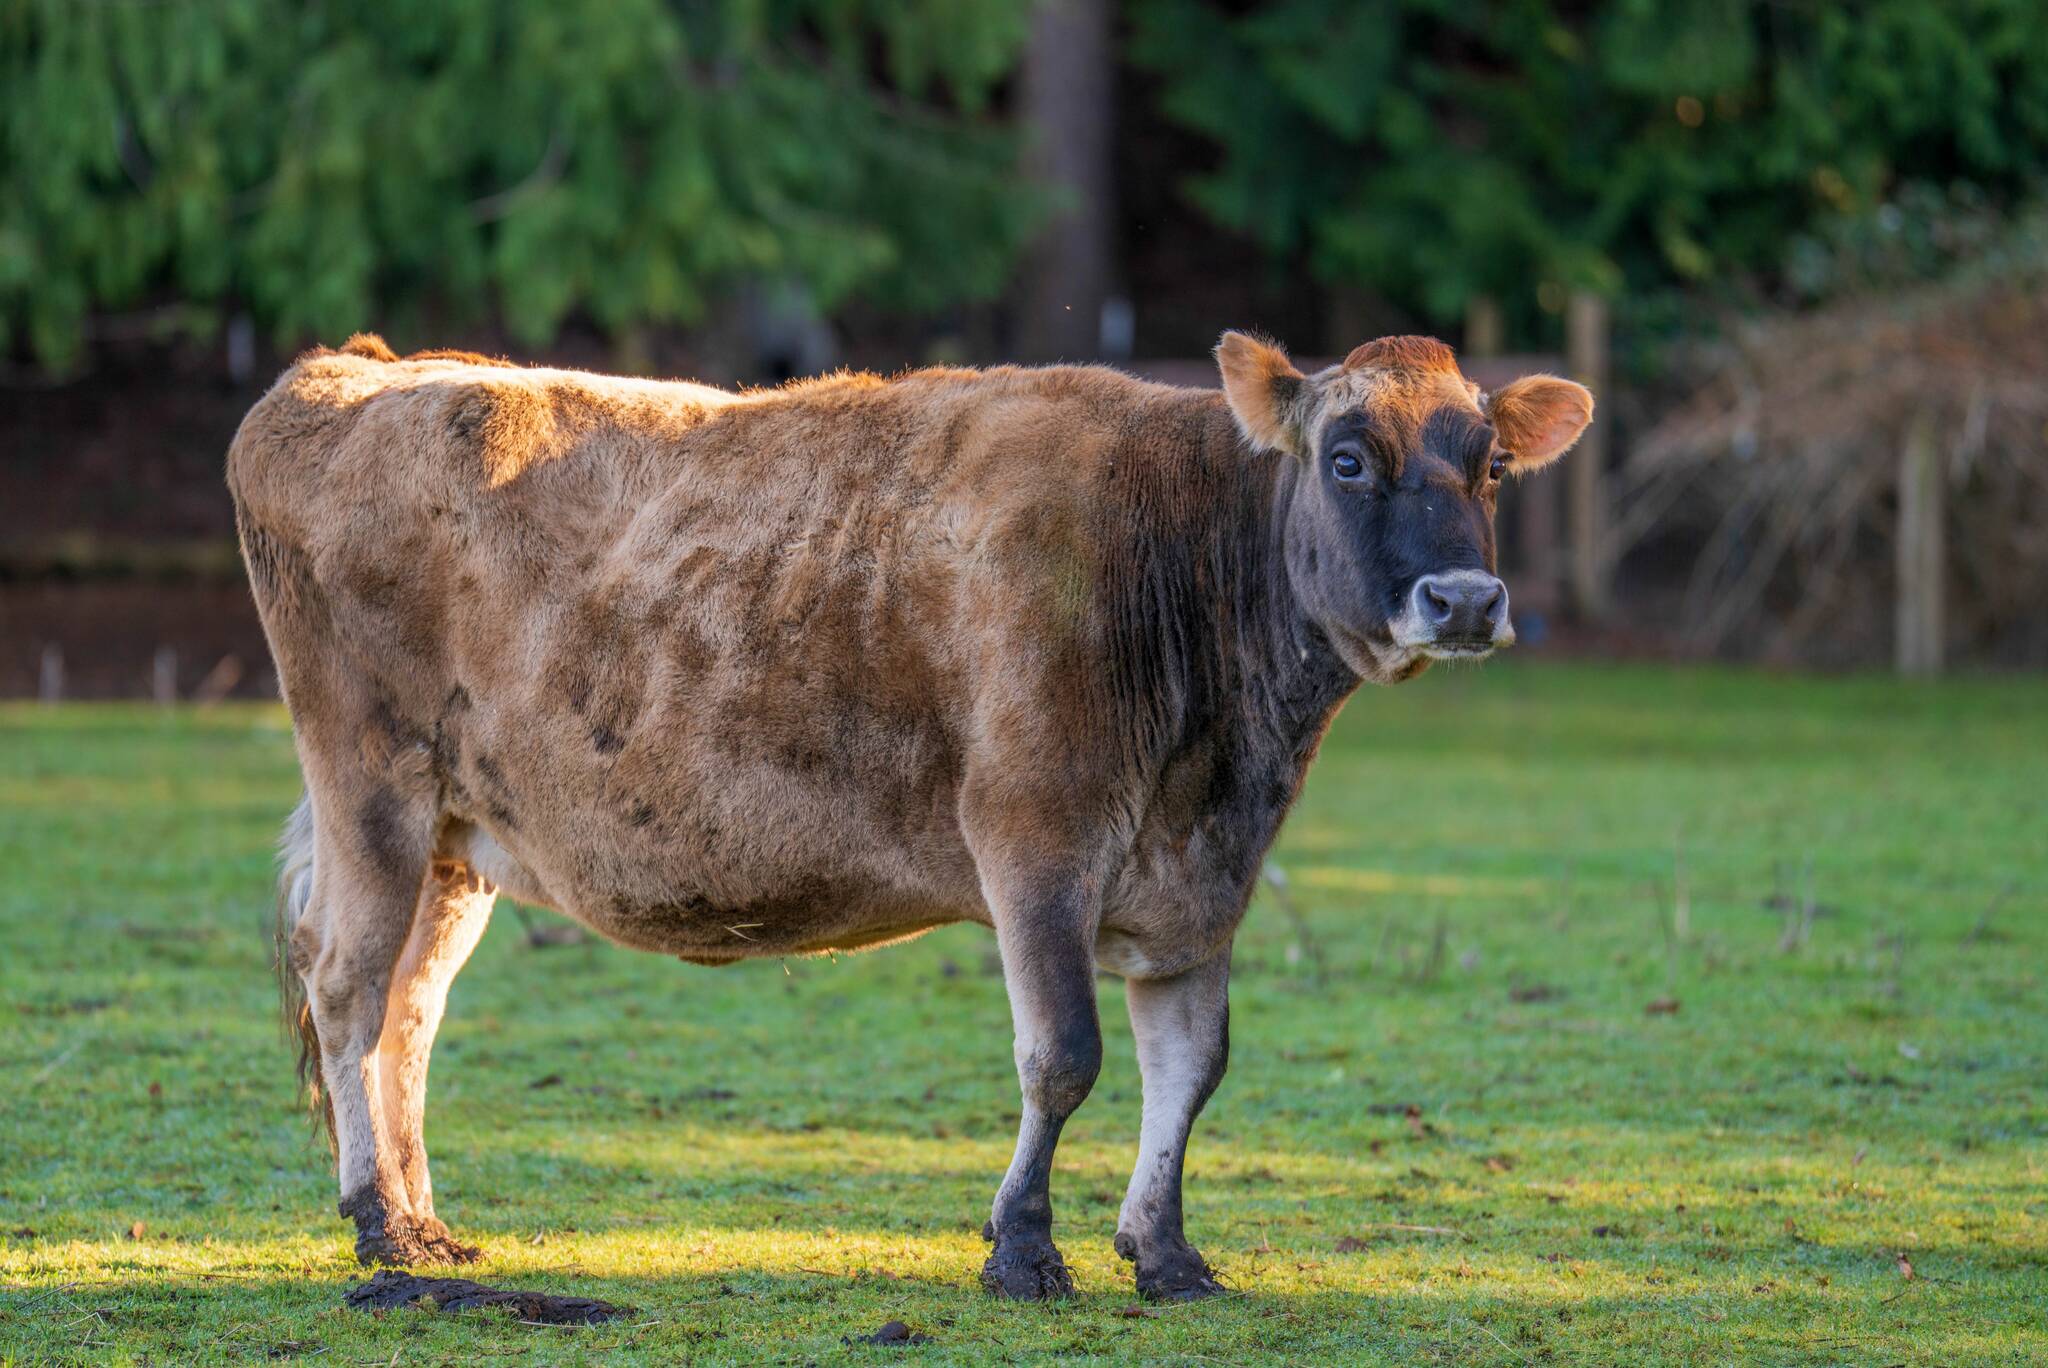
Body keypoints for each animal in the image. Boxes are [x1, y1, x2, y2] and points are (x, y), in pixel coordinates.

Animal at [227, 330, 1590, 1302]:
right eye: (1347, 457)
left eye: (1491, 466)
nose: (1465, 599)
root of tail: (357, 367)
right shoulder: (1033, 835)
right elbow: (1064, 1057)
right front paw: (1022, 1251)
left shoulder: (1200, 881)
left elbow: (1188, 1068)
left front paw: (1164, 1254)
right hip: (371, 784)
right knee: (346, 989)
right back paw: (376, 1226)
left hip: (457, 838)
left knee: (406, 1014)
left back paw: (423, 1220)